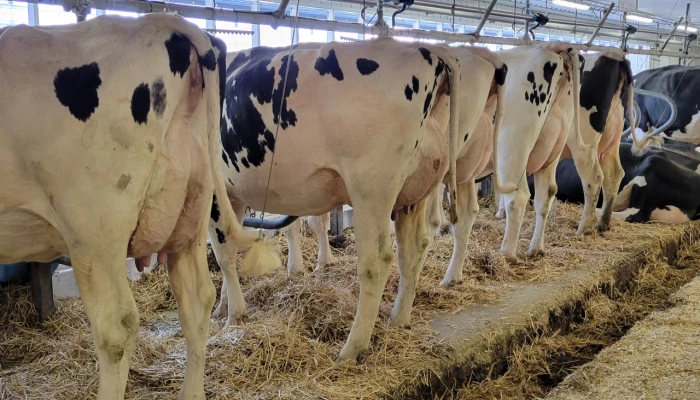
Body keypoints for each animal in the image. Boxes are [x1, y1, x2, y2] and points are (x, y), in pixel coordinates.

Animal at [209, 38, 515, 362]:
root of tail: (426, 49)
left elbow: (224, 253)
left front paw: (233, 315)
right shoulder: (231, 196)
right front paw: (223, 307)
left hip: (371, 188)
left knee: (377, 261)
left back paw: (351, 348)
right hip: (414, 190)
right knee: (413, 247)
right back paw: (398, 318)